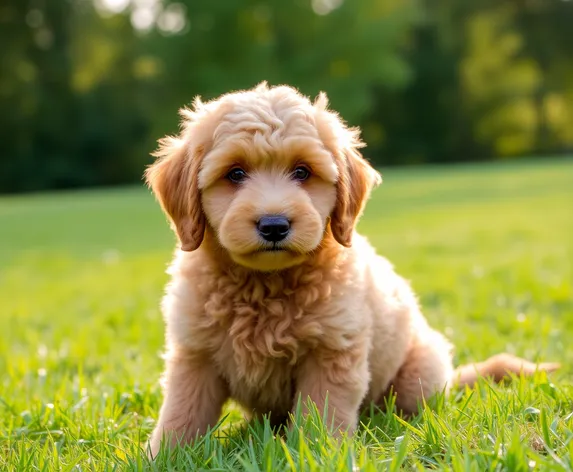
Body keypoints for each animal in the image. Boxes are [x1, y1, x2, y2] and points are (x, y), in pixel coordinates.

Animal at [144, 83, 560, 456]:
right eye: (235, 174)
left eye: (302, 172)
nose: (274, 225)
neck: (264, 284)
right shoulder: (195, 354)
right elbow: (182, 413)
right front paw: (165, 456)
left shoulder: (332, 350)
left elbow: (320, 415)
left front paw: (315, 453)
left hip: (419, 370)